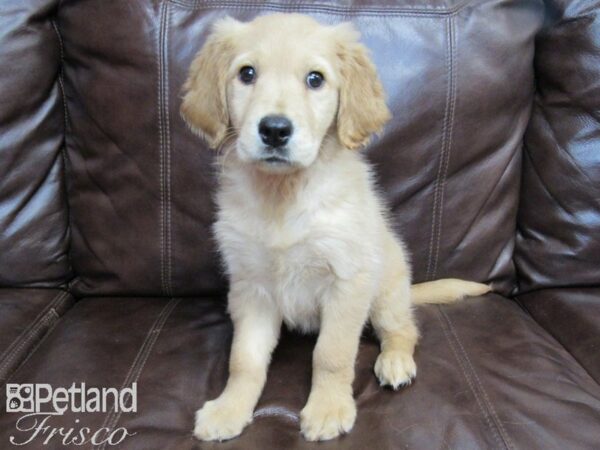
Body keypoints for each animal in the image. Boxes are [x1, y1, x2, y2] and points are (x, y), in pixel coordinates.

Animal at [180, 12, 490, 442]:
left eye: (315, 79)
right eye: (247, 73)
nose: (274, 130)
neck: (284, 195)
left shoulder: (348, 280)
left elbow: (331, 353)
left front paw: (328, 408)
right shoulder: (251, 287)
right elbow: (244, 359)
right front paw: (230, 408)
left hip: (387, 291)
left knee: (404, 330)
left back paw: (395, 362)